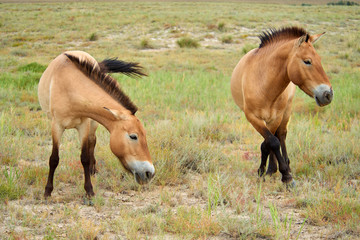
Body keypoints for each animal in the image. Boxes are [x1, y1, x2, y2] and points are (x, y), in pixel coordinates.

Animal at [38, 50, 155, 197]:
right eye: (133, 136)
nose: (150, 173)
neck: (70, 88)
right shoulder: (57, 126)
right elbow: (54, 159)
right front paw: (47, 191)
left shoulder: (84, 125)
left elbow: (85, 158)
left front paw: (89, 190)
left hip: (93, 123)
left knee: (92, 141)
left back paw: (93, 170)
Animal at [232, 26, 334, 184]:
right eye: (307, 61)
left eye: (320, 60)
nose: (328, 94)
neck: (263, 83)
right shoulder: (252, 118)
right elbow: (271, 142)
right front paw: (270, 172)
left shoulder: (275, 118)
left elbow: (270, 142)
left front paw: (283, 173)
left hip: (286, 111)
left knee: (281, 134)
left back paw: (282, 165)